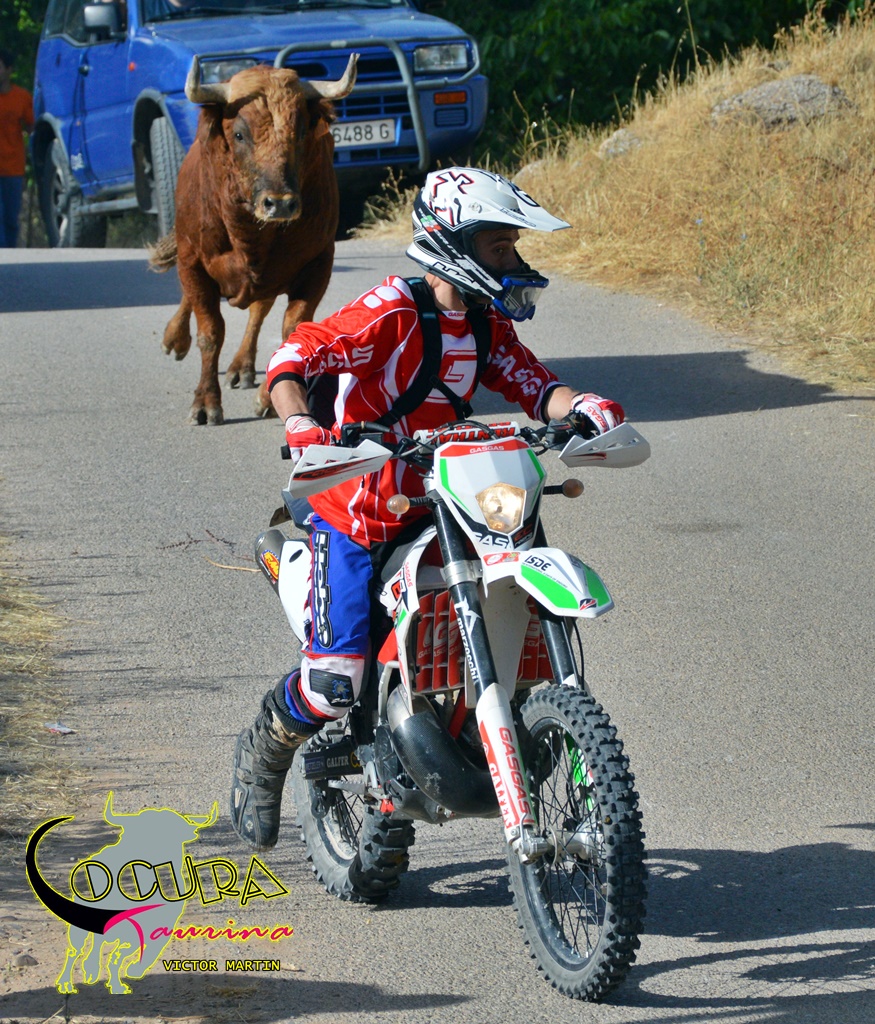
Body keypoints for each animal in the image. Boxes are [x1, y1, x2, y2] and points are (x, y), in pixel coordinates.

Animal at [26, 793, 219, 994]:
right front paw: (117, 984)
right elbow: (115, 955)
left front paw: (131, 972)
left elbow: (137, 952)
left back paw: (91, 971)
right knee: (75, 951)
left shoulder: (160, 925)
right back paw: (67, 983)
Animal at [150, 54, 358, 424]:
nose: (281, 203)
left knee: (259, 310)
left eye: (300, 132)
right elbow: (210, 332)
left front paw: (269, 399)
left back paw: (242, 367)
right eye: (239, 133)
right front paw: (205, 403)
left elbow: (292, 328)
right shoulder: (193, 262)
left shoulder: (318, 264)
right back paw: (175, 339)